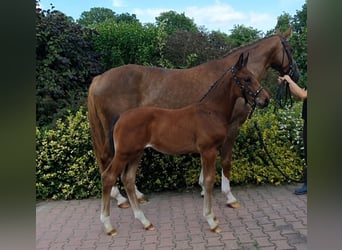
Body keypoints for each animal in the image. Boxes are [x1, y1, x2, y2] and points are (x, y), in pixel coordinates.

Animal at [88, 27, 300, 208]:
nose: (296, 75)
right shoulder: (232, 127)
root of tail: (99, 79)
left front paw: (203, 186)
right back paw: (120, 198)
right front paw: (229, 196)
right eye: (290, 49)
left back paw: (136, 195)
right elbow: (226, 160)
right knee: (108, 158)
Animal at [99, 52, 270, 234]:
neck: (211, 111)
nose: (266, 99)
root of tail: (121, 118)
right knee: (108, 177)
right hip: (123, 153)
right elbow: (209, 181)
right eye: (247, 79)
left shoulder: (210, 151)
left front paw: (212, 217)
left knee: (128, 179)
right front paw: (211, 220)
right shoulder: (208, 150)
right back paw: (109, 225)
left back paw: (145, 221)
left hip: (136, 153)